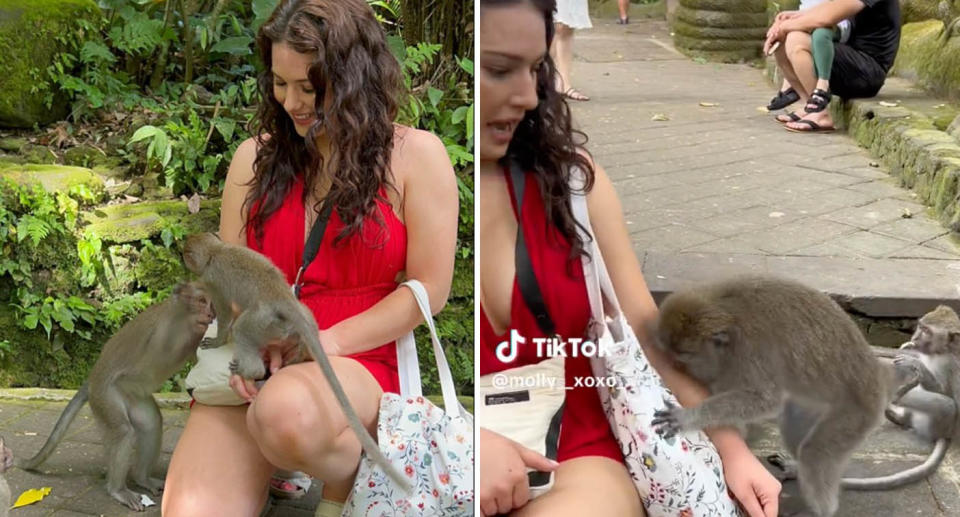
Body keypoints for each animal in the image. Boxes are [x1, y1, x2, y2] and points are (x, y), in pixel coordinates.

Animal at [18, 284, 215, 510]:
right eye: (201, 301)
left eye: (210, 302)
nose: (211, 314)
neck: (180, 318)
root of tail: (92, 380)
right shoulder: (164, 330)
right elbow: (166, 352)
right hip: (105, 396)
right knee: (122, 431)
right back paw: (118, 490)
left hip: (132, 395)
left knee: (151, 424)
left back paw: (142, 479)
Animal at [182, 232, 410, 490]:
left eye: (185, 254)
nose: (183, 259)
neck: (215, 251)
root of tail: (282, 298)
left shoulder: (213, 280)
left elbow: (225, 313)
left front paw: (218, 340)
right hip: (290, 320)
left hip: (261, 320)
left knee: (242, 327)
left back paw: (252, 371)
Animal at [652, 274, 892, 516]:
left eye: (683, 358)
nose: (677, 368)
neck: (726, 311)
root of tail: (877, 378)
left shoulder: (749, 352)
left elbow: (765, 400)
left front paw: (690, 416)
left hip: (857, 414)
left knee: (814, 454)